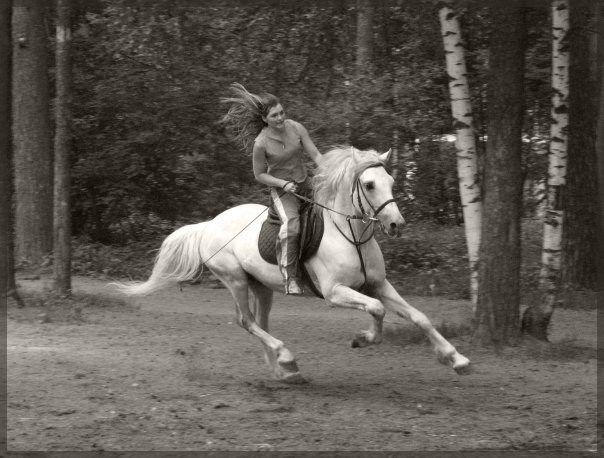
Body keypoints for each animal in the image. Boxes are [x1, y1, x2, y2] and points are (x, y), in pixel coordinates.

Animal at [114, 148, 472, 382]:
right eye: (370, 184)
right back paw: (286, 357)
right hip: (235, 280)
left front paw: (456, 359)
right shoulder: (336, 292)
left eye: (392, 181)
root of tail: (208, 224)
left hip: (262, 287)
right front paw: (363, 339)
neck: (352, 237)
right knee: (246, 321)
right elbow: (377, 310)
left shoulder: (378, 285)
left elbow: (419, 316)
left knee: (261, 322)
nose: (397, 224)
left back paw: (283, 371)